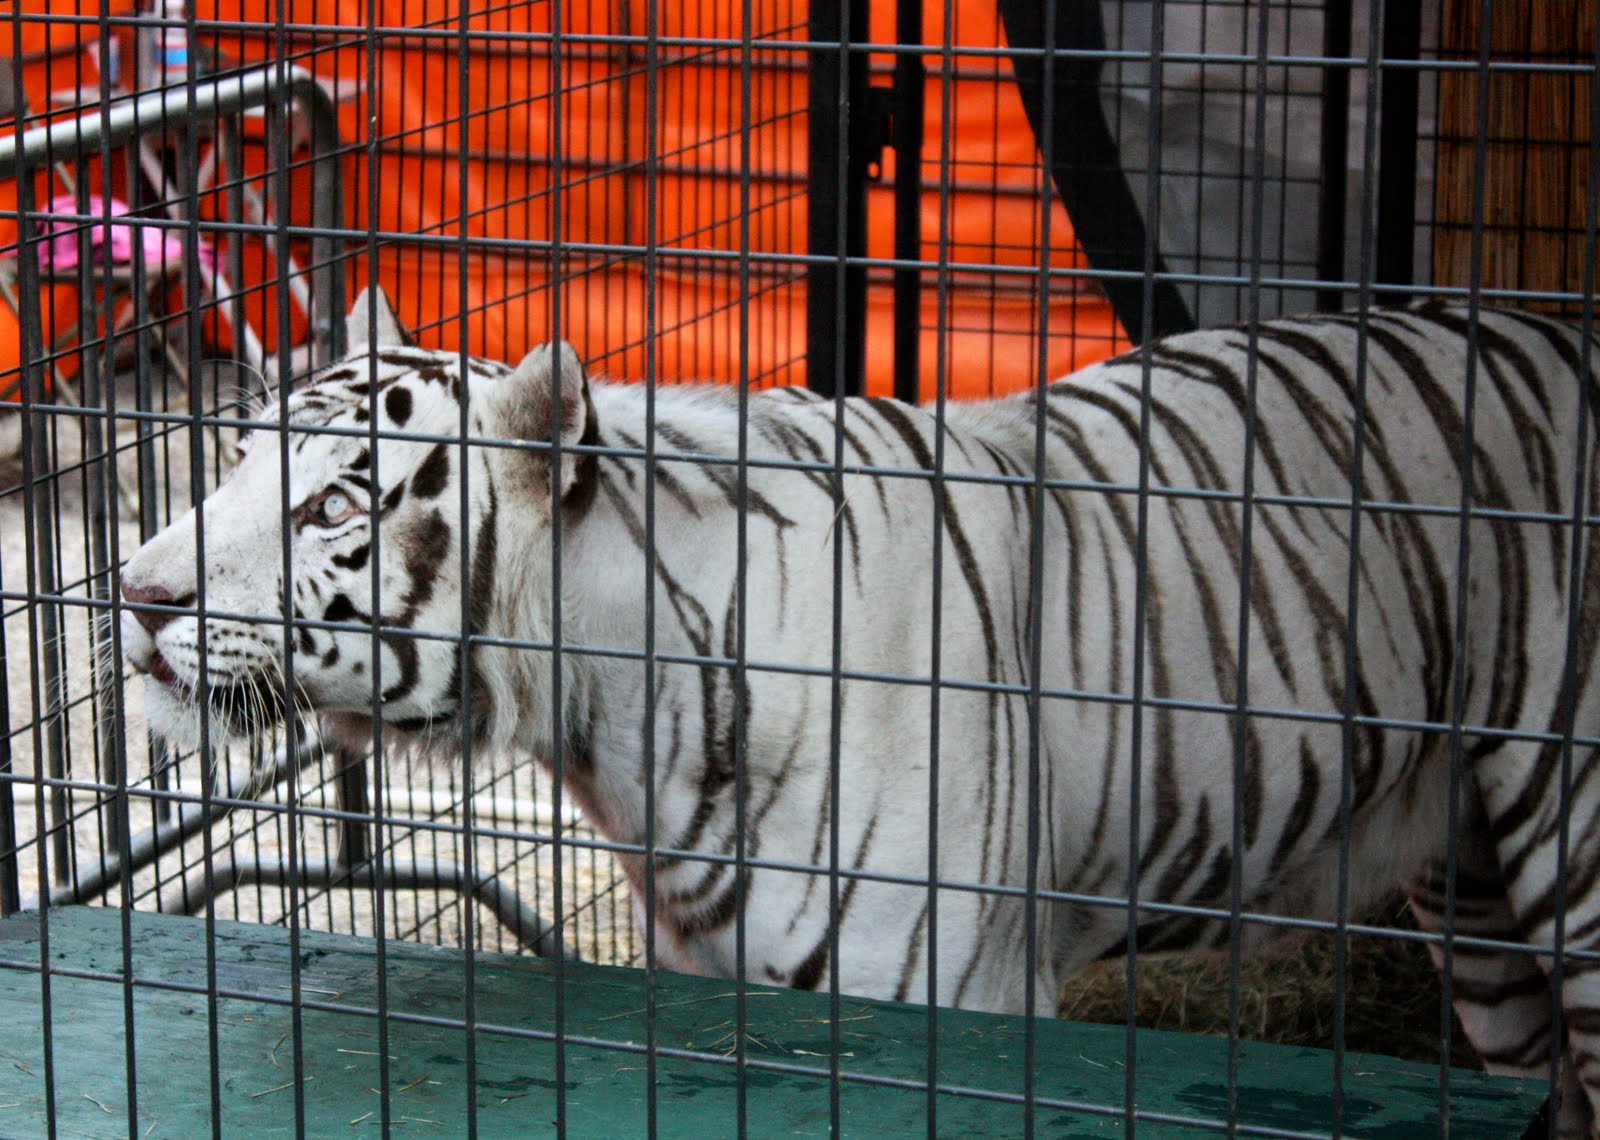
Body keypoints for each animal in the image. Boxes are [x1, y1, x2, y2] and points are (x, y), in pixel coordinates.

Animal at [119, 289, 1600, 1133]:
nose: (130, 594)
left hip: (1572, 855)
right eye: (234, 457)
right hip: (1477, 908)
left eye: (332, 503)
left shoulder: (948, 1002)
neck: (613, 720)